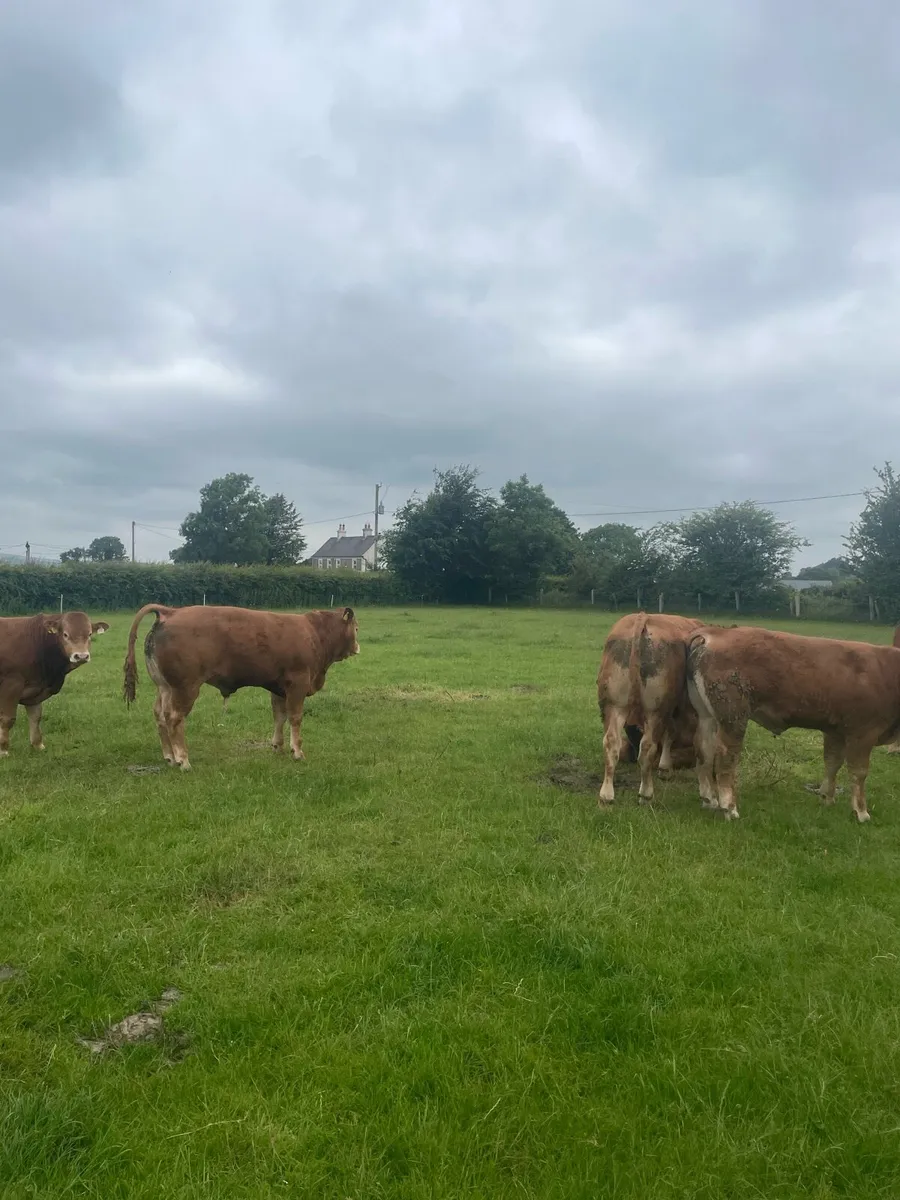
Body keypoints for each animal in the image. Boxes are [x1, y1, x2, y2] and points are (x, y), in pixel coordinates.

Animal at [0, 612, 109, 756]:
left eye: (90, 634)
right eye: (65, 634)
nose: (81, 656)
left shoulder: (35, 689)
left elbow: (36, 717)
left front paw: (38, 744)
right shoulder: (11, 685)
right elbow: (7, 719)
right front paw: (3, 750)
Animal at [122, 603, 360, 770]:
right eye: (356, 628)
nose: (358, 647)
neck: (315, 633)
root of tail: (170, 612)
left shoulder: (279, 689)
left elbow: (279, 717)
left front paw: (278, 746)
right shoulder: (297, 684)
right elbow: (295, 718)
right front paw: (297, 752)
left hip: (164, 687)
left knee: (160, 716)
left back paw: (170, 757)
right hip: (185, 688)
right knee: (174, 718)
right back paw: (183, 760)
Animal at [597, 611, 703, 805]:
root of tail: (642, 618)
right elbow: (670, 734)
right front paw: (665, 768)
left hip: (615, 706)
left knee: (611, 743)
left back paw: (606, 796)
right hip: (655, 711)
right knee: (647, 748)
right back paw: (646, 794)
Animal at [686, 623, 900, 822]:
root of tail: (715, 632)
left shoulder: (835, 731)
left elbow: (832, 763)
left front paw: (827, 798)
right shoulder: (863, 733)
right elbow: (859, 772)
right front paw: (861, 812)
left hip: (707, 717)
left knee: (704, 752)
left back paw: (709, 800)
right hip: (733, 719)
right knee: (726, 758)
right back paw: (729, 807)